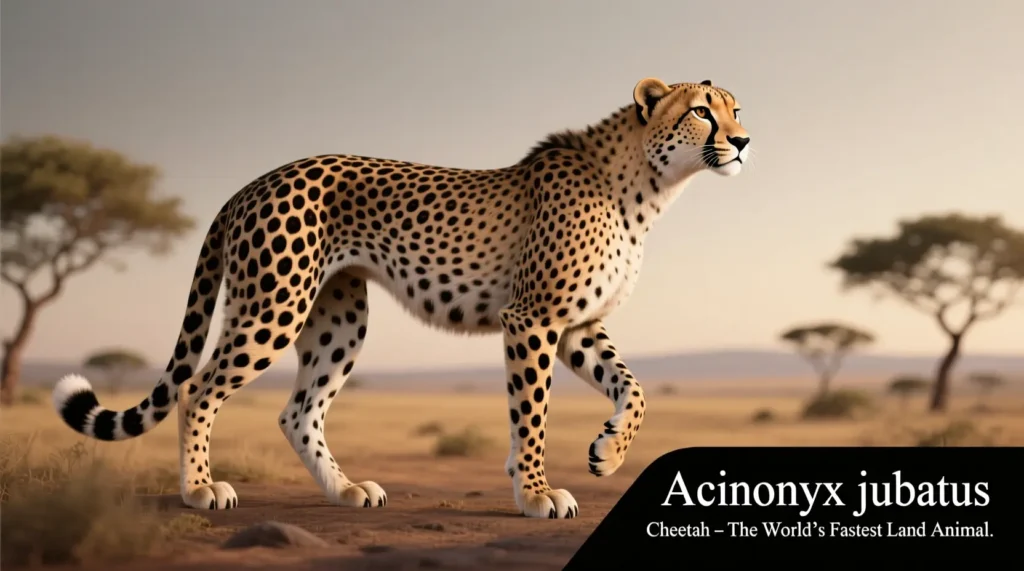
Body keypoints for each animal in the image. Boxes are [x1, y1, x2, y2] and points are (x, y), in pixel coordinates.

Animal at [52, 77, 751, 519]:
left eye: (738, 109)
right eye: (702, 111)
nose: (744, 142)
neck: (646, 185)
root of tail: (254, 181)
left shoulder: (577, 324)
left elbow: (633, 389)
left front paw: (607, 452)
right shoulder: (532, 317)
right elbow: (532, 414)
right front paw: (534, 492)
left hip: (338, 319)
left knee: (298, 411)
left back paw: (344, 491)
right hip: (275, 305)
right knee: (199, 388)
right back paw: (200, 489)